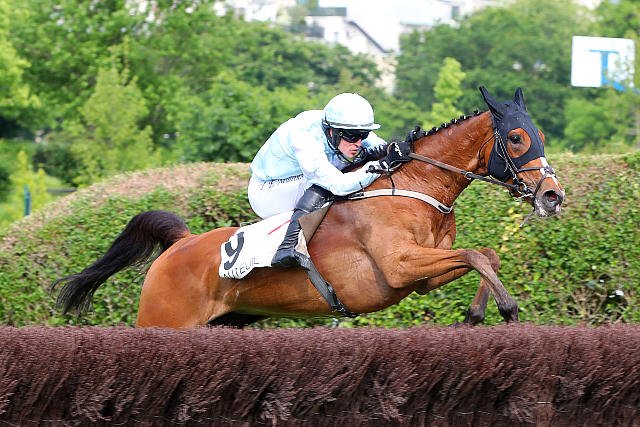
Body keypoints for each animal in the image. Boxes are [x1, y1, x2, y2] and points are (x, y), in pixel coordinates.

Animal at [53, 87, 565, 328]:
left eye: (539, 133)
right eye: (516, 138)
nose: (552, 195)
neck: (414, 187)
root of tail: (180, 244)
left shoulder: (420, 275)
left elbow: (484, 256)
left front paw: (480, 313)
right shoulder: (399, 265)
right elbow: (478, 254)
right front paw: (507, 306)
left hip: (225, 322)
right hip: (165, 321)